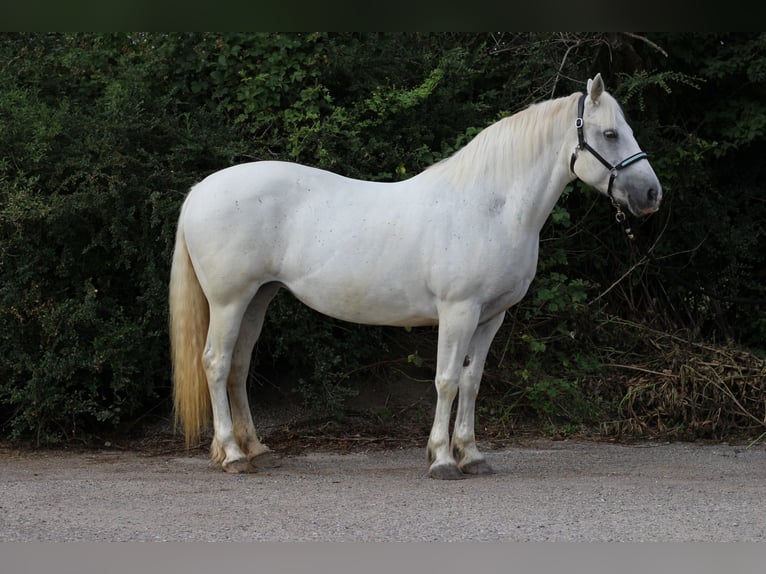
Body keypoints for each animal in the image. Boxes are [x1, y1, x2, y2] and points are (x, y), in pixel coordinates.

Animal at [169, 73, 662, 479]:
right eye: (610, 133)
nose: (651, 194)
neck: (491, 207)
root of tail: (200, 190)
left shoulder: (491, 318)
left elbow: (472, 382)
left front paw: (471, 456)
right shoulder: (458, 312)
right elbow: (446, 380)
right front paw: (442, 459)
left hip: (259, 297)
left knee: (238, 367)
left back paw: (257, 450)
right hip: (229, 300)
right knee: (216, 363)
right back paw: (233, 455)